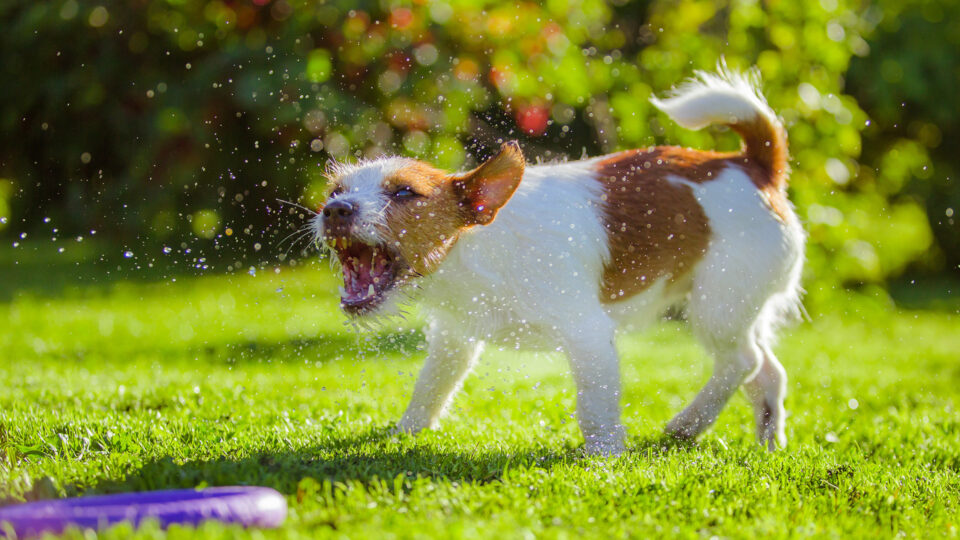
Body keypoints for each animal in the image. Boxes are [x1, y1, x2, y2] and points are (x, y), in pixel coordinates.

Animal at [310, 68, 804, 456]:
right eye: (336, 191)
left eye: (403, 193)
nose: (335, 210)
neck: (473, 250)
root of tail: (754, 165)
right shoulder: (455, 337)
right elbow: (431, 386)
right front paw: (407, 431)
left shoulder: (588, 334)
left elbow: (595, 405)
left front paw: (606, 457)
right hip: (743, 308)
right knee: (768, 371)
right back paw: (768, 443)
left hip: (718, 304)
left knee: (742, 362)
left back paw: (688, 423)